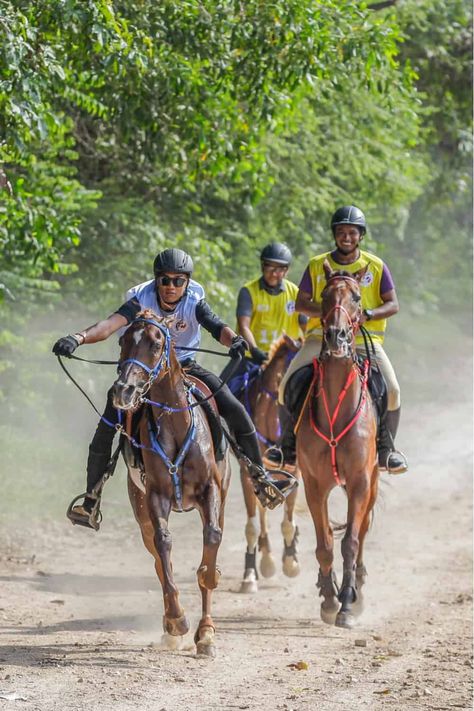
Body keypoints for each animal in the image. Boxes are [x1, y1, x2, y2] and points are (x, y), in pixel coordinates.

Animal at [111, 310, 230, 656]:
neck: (177, 425)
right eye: (123, 341)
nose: (123, 391)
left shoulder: (210, 491)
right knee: (157, 559)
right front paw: (177, 621)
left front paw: (206, 633)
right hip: (140, 511)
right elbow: (164, 547)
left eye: (155, 343)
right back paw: (169, 627)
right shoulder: (155, 496)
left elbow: (211, 547)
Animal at [237, 334, 304, 596]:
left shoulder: (294, 470)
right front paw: (249, 576)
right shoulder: (247, 471)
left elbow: (288, 522)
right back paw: (265, 560)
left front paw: (291, 562)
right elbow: (252, 525)